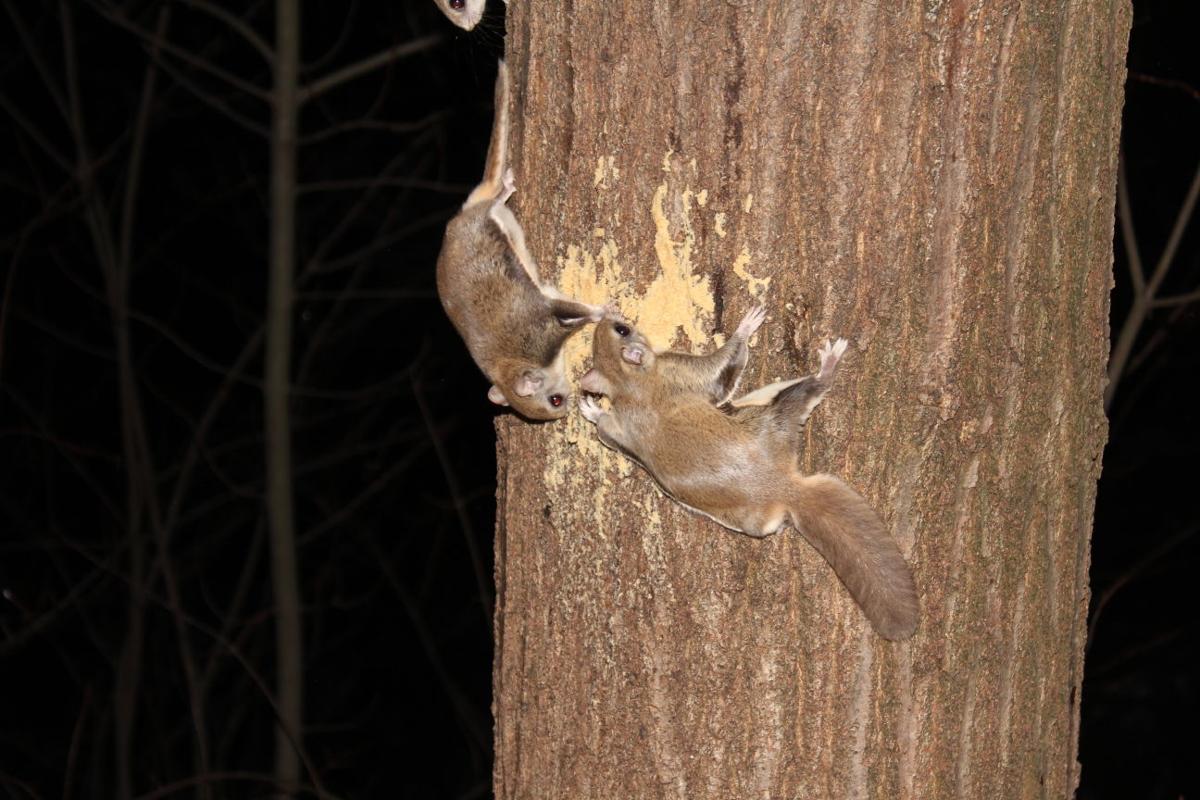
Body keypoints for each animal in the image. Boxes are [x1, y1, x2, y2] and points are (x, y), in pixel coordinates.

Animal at [436, 61, 607, 420]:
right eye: (554, 402)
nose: (565, 411)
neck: (509, 363)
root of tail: (464, 214)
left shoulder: (543, 324)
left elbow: (576, 315)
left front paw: (601, 312)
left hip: (486, 218)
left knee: (494, 203)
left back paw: (504, 189)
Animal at [579, 308, 920, 640]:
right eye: (623, 330)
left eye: (614, 331)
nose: (607, 314)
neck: (631, 384)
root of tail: (784, 488)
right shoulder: (684, 371)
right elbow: (722, 364)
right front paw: (747, 324)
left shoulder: (622, 424)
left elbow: (607, 430)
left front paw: (592, 410)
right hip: (773, 412)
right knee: (812, 389)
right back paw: (828, 364)